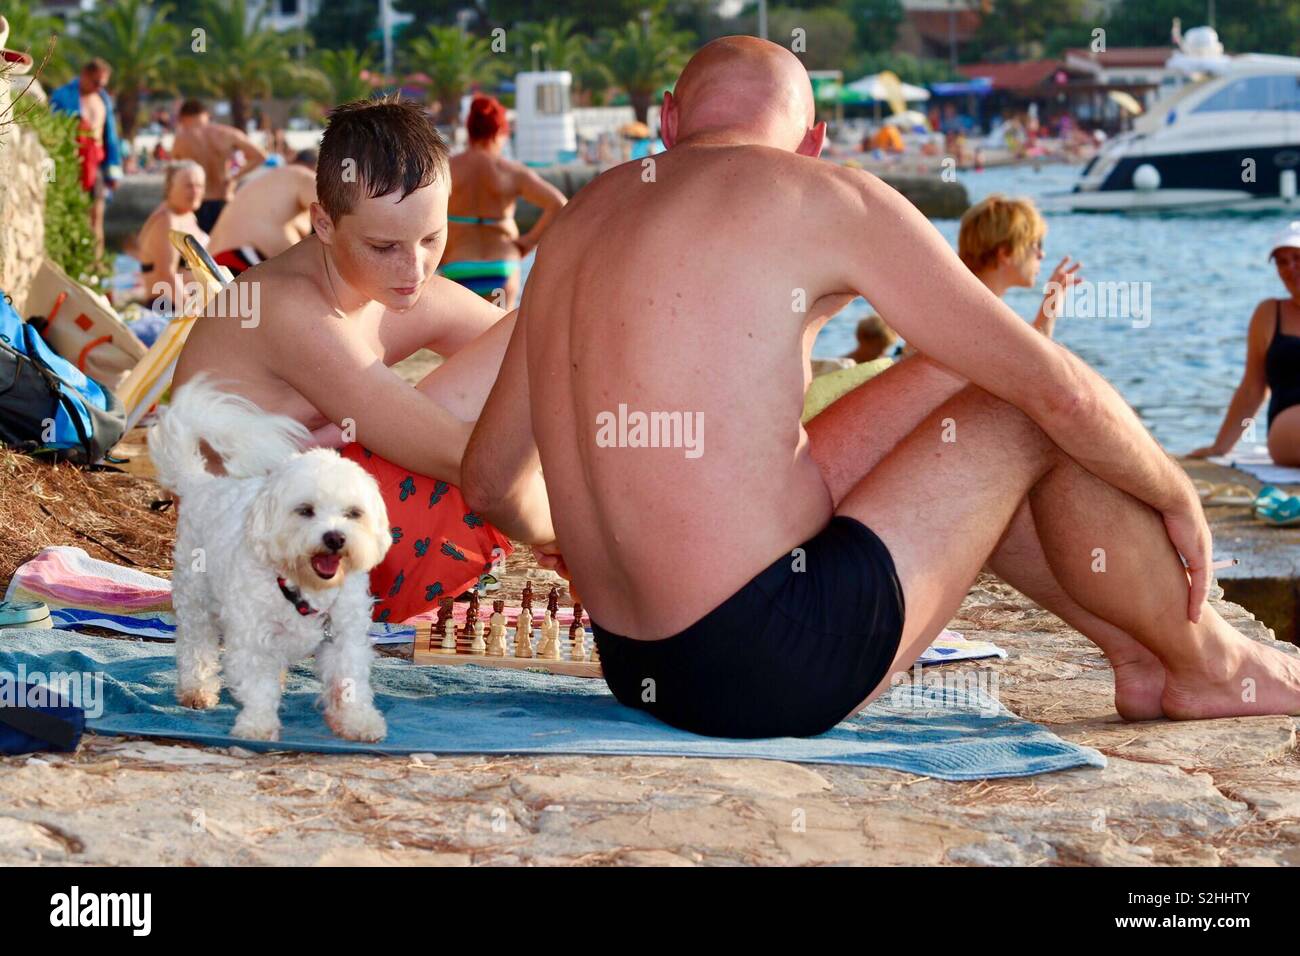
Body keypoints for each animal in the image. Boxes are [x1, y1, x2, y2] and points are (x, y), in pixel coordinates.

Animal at [148, 377, 390, 743]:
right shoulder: (252, 639)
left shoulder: (344, 638)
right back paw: (196, 688)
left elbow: (349, 682)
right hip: (195, 598)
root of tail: (202, 483)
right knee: (195, 645)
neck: (303, 588)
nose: (335, 538)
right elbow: (258, 687)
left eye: (353, 513)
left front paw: (357, 720)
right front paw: (257, 724)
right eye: (305, 510)